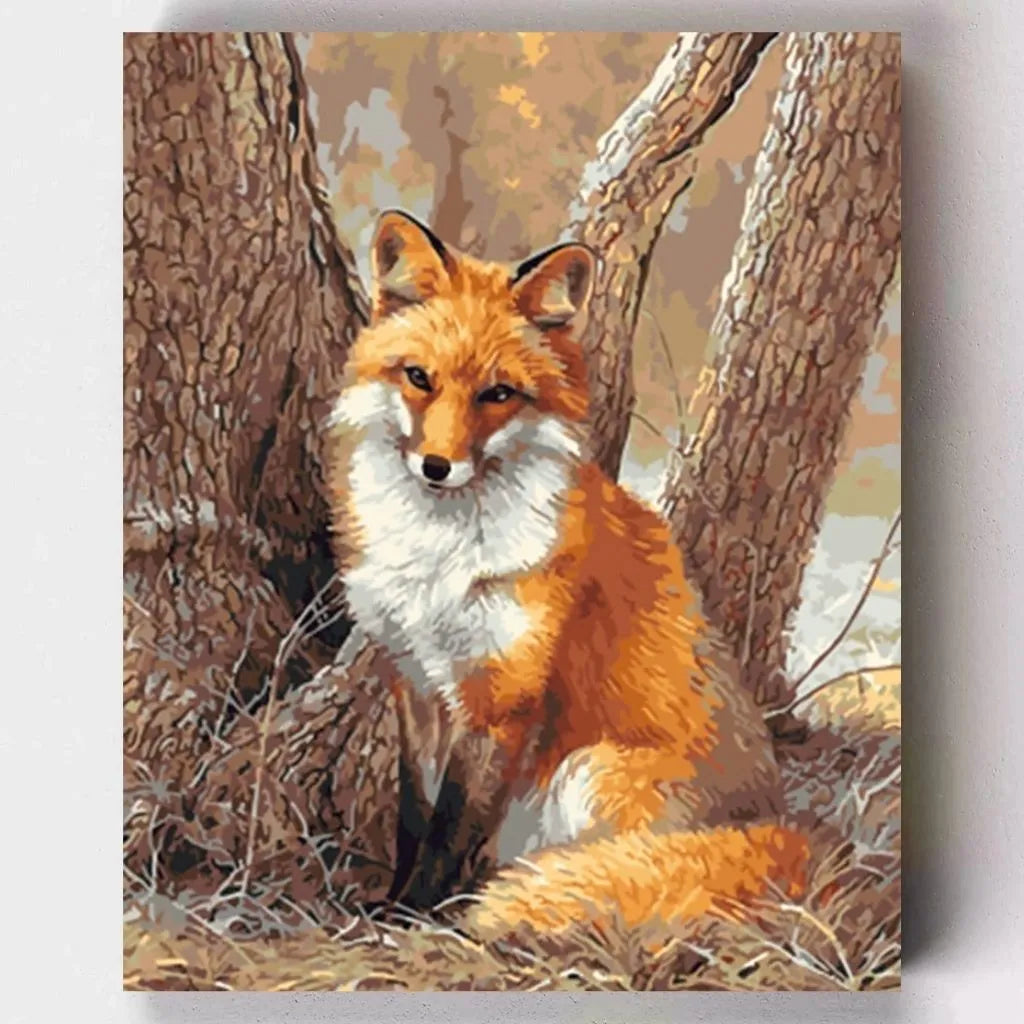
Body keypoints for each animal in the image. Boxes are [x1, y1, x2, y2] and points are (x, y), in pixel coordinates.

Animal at [325, 209, 808, 937]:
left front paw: (413, 916)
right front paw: (395, 899)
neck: (438, 559)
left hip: (590, 770)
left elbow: (450, 826)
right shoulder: (415, 679)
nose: (436, 466)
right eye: (418, 378)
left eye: (498, 394)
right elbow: (415, 814)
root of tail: (780, 828)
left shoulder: (501, 698)